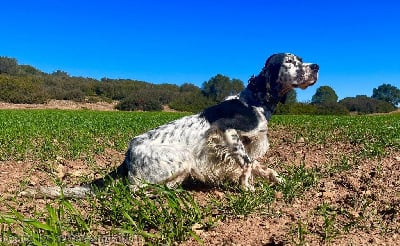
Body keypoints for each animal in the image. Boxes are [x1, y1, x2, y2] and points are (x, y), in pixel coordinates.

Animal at [20, 53, 318, 198]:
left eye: (301, 59)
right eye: (290, 62)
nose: (315, 66)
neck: (254, 101)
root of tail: (128, 155)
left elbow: (257, 164)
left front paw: (275, 178)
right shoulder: (226, 131)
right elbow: (245, 163)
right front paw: (248, 189)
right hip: (181, 160)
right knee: (134, 190)